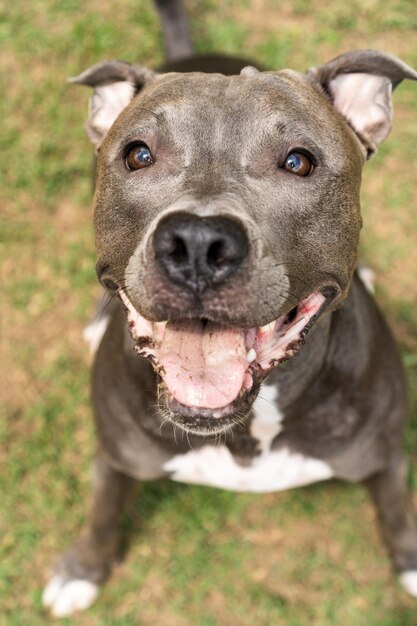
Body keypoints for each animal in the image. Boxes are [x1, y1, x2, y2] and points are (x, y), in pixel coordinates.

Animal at [42, 0, 416, 616]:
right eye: (138, 154)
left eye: (298, 161)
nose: (197, 243)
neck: (248, 428)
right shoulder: (116, 456)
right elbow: (102, 513)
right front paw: (83, 570)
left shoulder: (384, 455)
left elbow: (396, 511)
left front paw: (410, 562)